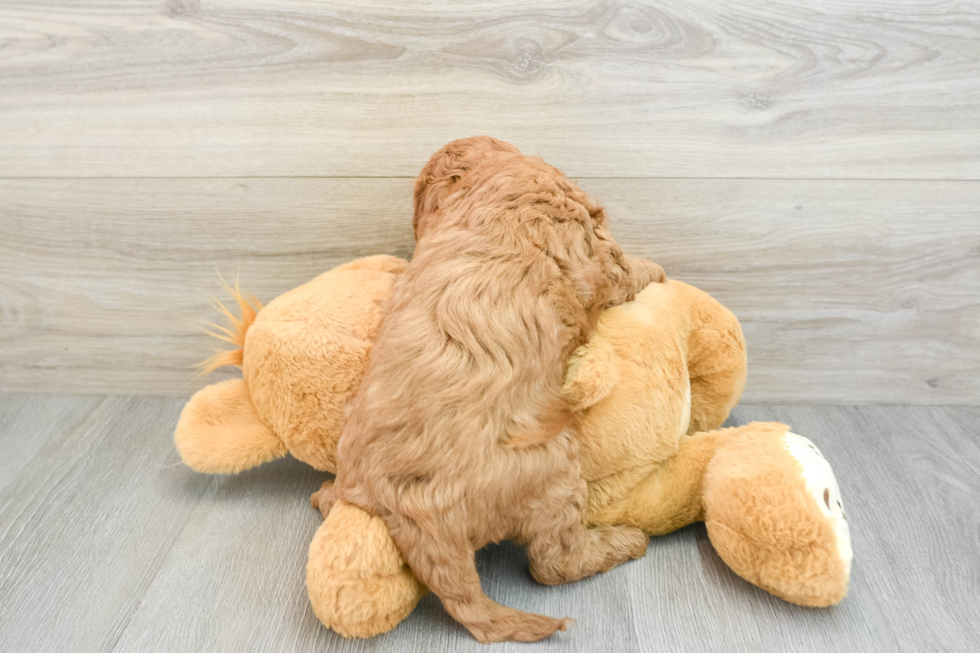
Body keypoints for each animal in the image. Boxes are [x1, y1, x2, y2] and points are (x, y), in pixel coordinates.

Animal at [322, 138, 668, 640]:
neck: (490, 182)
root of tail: (410, 515)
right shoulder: (596, 248)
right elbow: (624, 268)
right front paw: (655, 269)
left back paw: (324, 494)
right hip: (553, 469)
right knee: (554, 562)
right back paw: (623, 541)